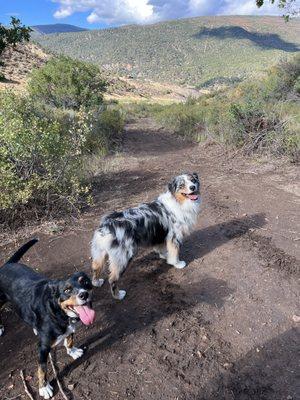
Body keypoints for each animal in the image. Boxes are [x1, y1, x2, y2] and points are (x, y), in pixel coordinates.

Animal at [0, 239, 95, 398]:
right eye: (67, 290)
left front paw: (72, 351)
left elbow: (70, 338)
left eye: (85, 282)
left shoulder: (70, 328)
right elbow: (42, 369)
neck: (57, 312)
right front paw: (44, 388)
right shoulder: (43, 348)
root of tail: (7, 264)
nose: (84, 294)